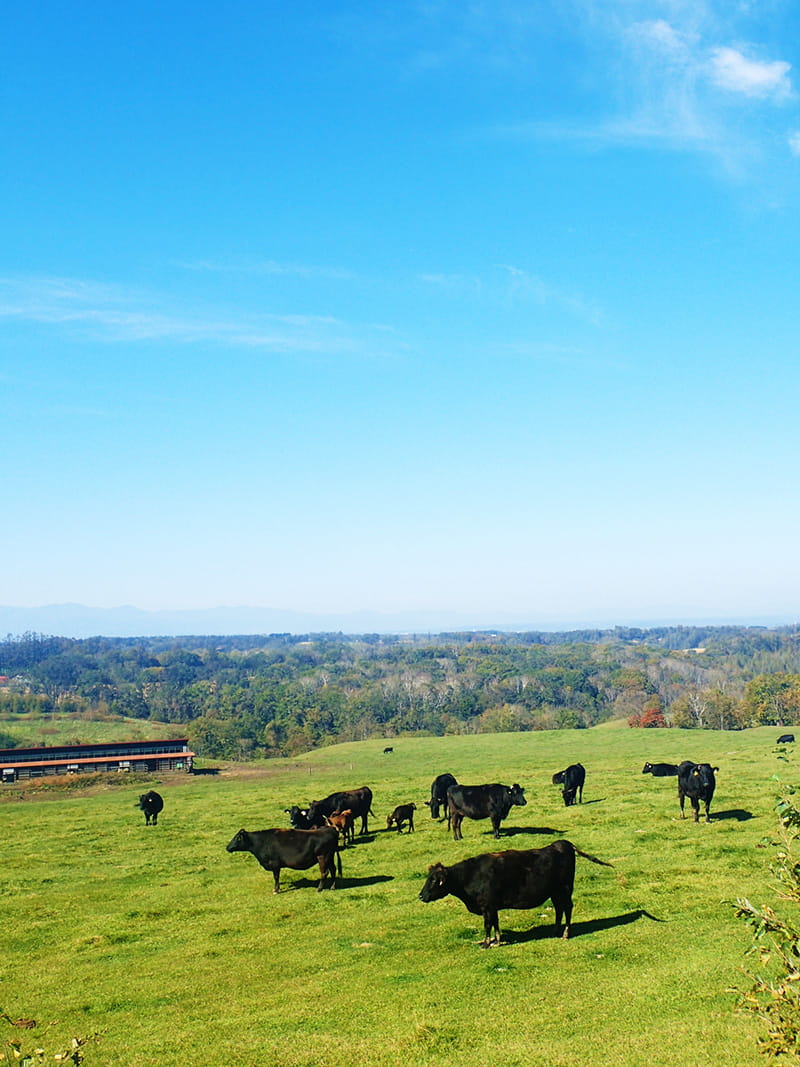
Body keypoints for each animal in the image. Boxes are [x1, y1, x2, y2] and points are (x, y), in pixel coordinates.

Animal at [420, 836, 614, 947]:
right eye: (428, 878)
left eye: (434, 880)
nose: (421, 896)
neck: (470, 875)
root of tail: (562, 844)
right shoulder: (493, 907)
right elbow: (496, 924)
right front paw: (497, 941)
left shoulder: (487, 907)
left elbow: (488, 925)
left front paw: (486, 944)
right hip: (555, 893)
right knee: (559, 909)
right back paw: (555, 931)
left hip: (565, 890)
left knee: (567, 908)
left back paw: (565, 934)